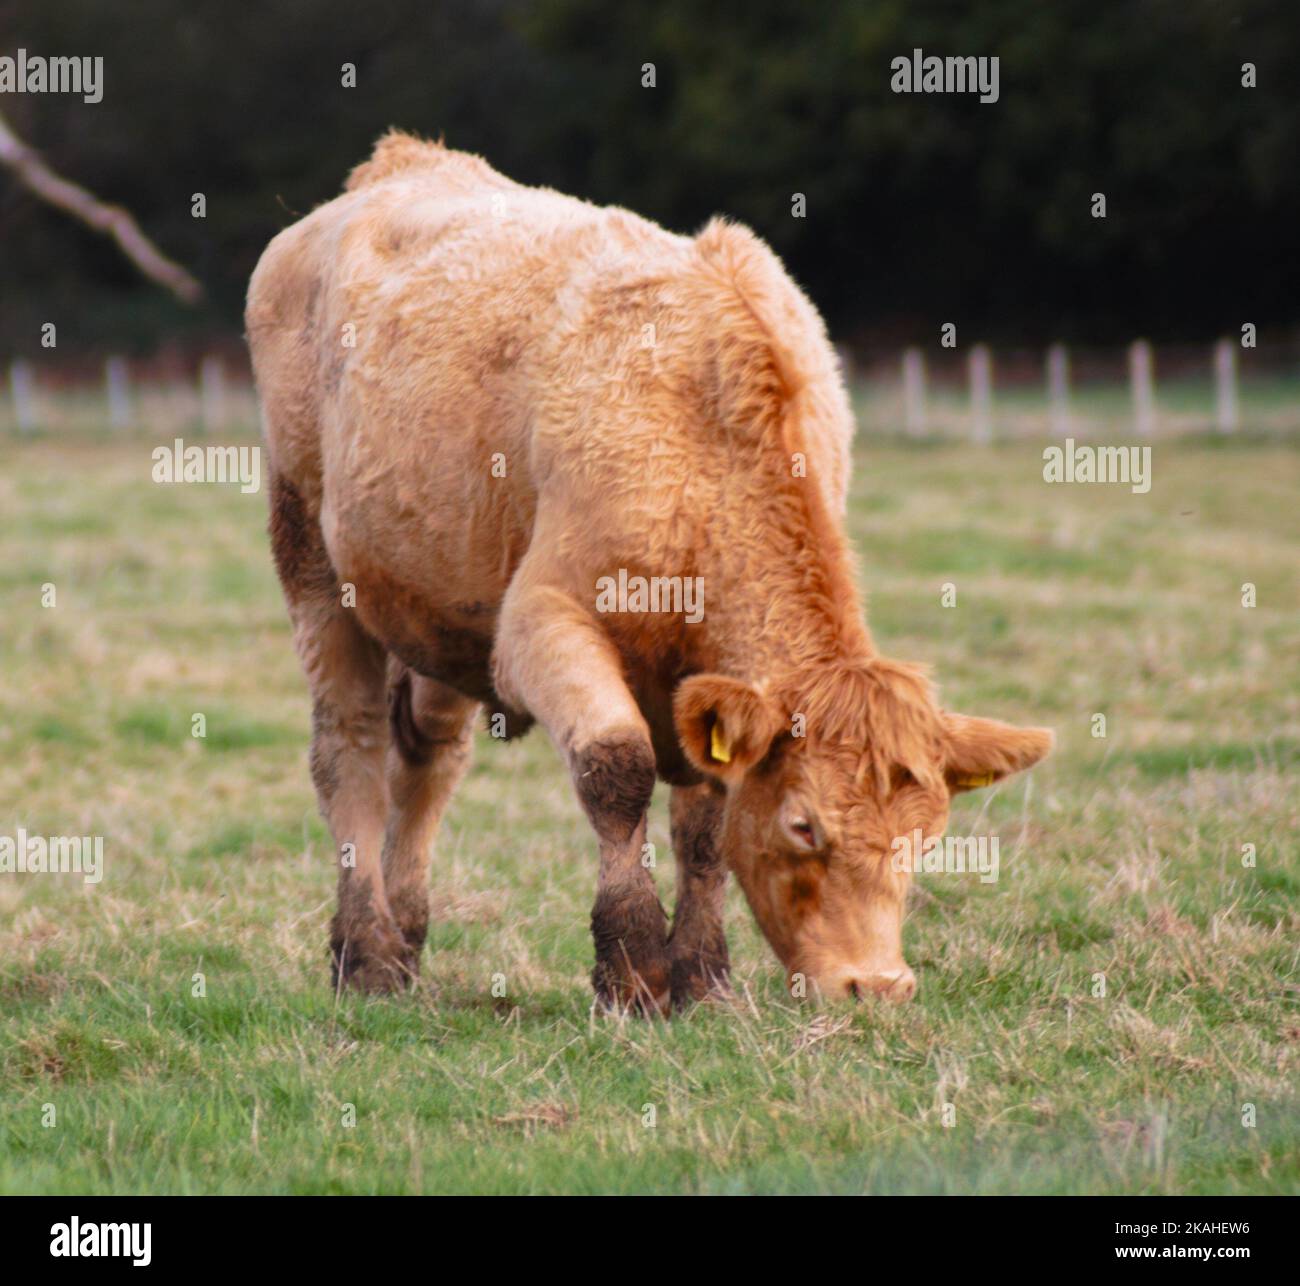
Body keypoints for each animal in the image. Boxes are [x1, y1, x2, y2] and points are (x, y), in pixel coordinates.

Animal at [248, 130, 1050, 1014]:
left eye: (927, 837)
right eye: (805, 824)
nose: (874, 985)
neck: (709, 457)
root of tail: (401, 163)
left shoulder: (700, 682)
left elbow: (703, 822)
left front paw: (702, 975)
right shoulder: (540, 622)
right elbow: (618, 769)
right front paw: (631, 967)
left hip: (436, 604)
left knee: (428, 757)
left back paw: (405, 941)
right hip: (311, 557)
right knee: (347, 749)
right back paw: (363, 953)